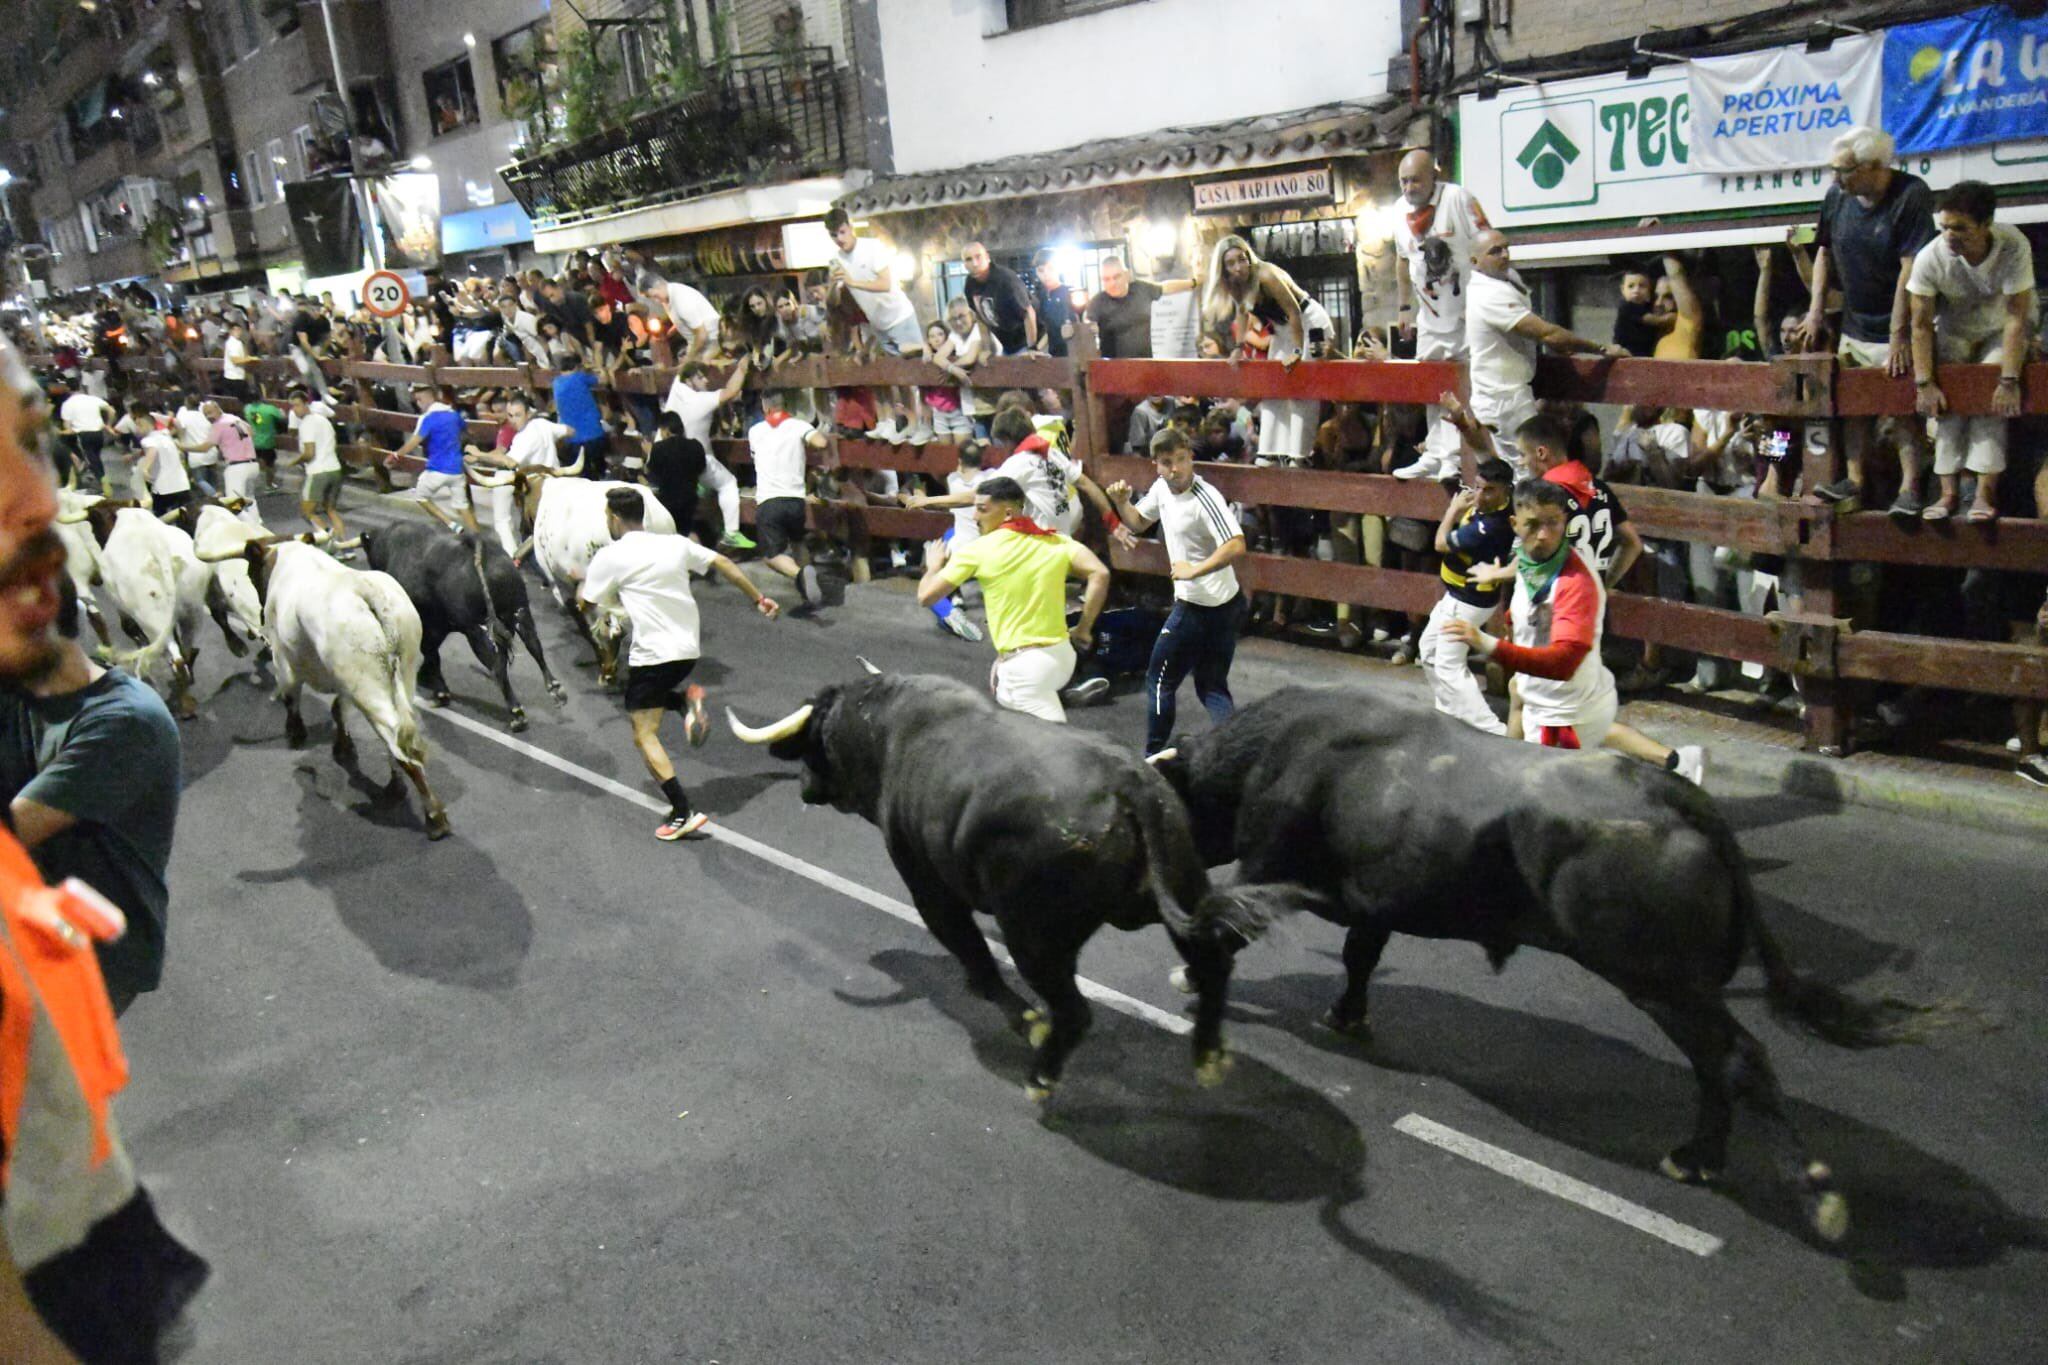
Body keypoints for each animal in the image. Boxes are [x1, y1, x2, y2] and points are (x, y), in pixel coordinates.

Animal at [202, 532, 448, 834]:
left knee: (401, 744)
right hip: (401, 671)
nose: (259, 615)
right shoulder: (342, 683)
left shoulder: (284, 661)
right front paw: (342, 745)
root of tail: (365, 590)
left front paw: (296, 733)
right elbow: (337, 709)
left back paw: (433, 814)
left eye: (251, 572)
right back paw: (398, 788)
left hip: (367, 687)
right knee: (402, 733)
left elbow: (291, 699)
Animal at [360, 527, 565, 736]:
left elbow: (431, 653)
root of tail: (479, 547)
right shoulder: (438, 626)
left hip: (476, 630)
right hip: (520, 611)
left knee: (497, 666)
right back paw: (554, 688)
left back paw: (517, 714)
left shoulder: (428, 624)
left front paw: (439, 691)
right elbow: (432, 653)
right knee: (534, 646)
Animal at [729, 671, 1286, 1096]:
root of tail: (1130, 784)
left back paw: (1042, 1076)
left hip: (1033, 937)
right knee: (1213, 960)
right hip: (1176, 890)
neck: (888, 735)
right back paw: (1208, 1055)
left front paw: (1019, 1016)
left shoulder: (928, 886)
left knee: (1074, 1011)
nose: (804, 785)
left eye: (814, 742)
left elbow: (971, 949)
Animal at [1155, 687, 1933, 1244]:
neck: (1274, 754)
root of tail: (1679, 797)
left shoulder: (1266, 865)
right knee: (1716, 1063)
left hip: (1665, 982)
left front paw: (1193, 978)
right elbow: (1359, 957)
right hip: (1680, 989)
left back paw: (1807, 1191)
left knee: (1738, 1058)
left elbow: (1232, 928)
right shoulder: (1377, 897)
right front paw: (1346, 1015)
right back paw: (1697, 1157)